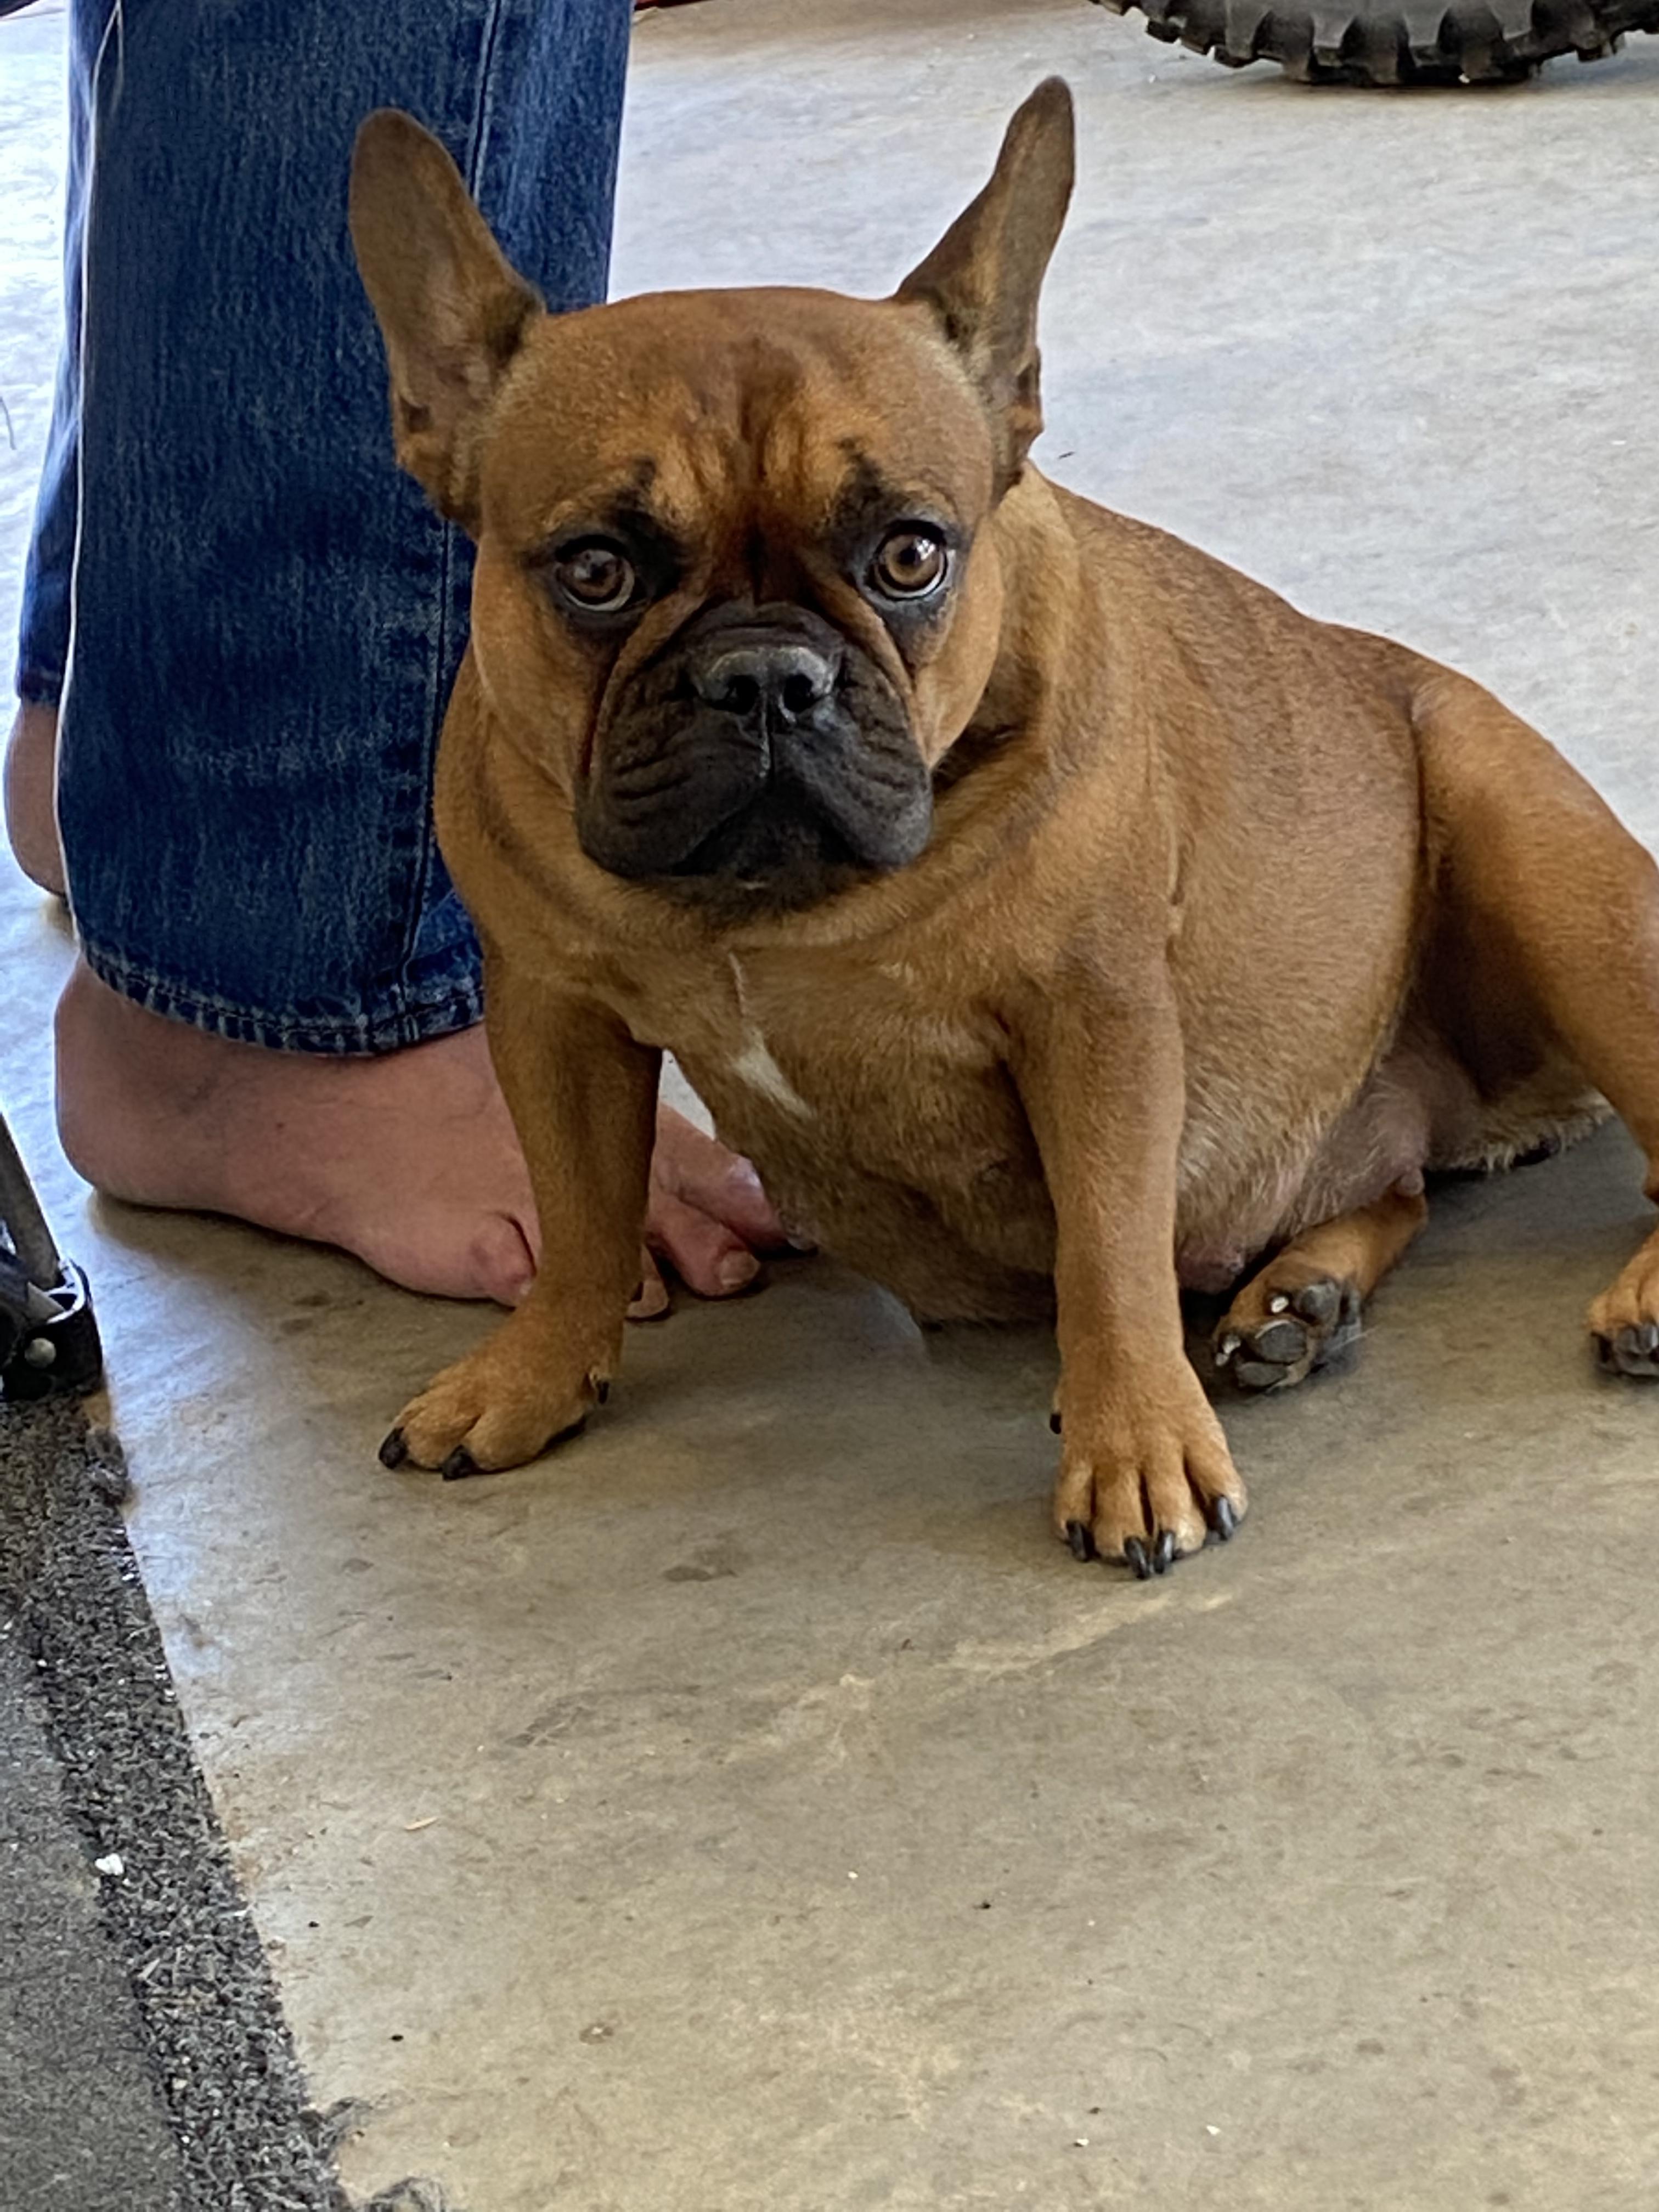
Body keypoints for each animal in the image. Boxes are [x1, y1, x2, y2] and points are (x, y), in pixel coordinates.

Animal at [349, 81, 1659, 1576]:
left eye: (911, 554)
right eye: (596, 571)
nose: (765, 677)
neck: (773, 906)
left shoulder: (1094, 1022)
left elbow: (1108, 1245)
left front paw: (1135, 1446)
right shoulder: (554, 1013)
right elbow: (578, 1215)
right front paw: (528, 1376)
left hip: (1548, 873)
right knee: (1393, 1188)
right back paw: (1302, 1299)